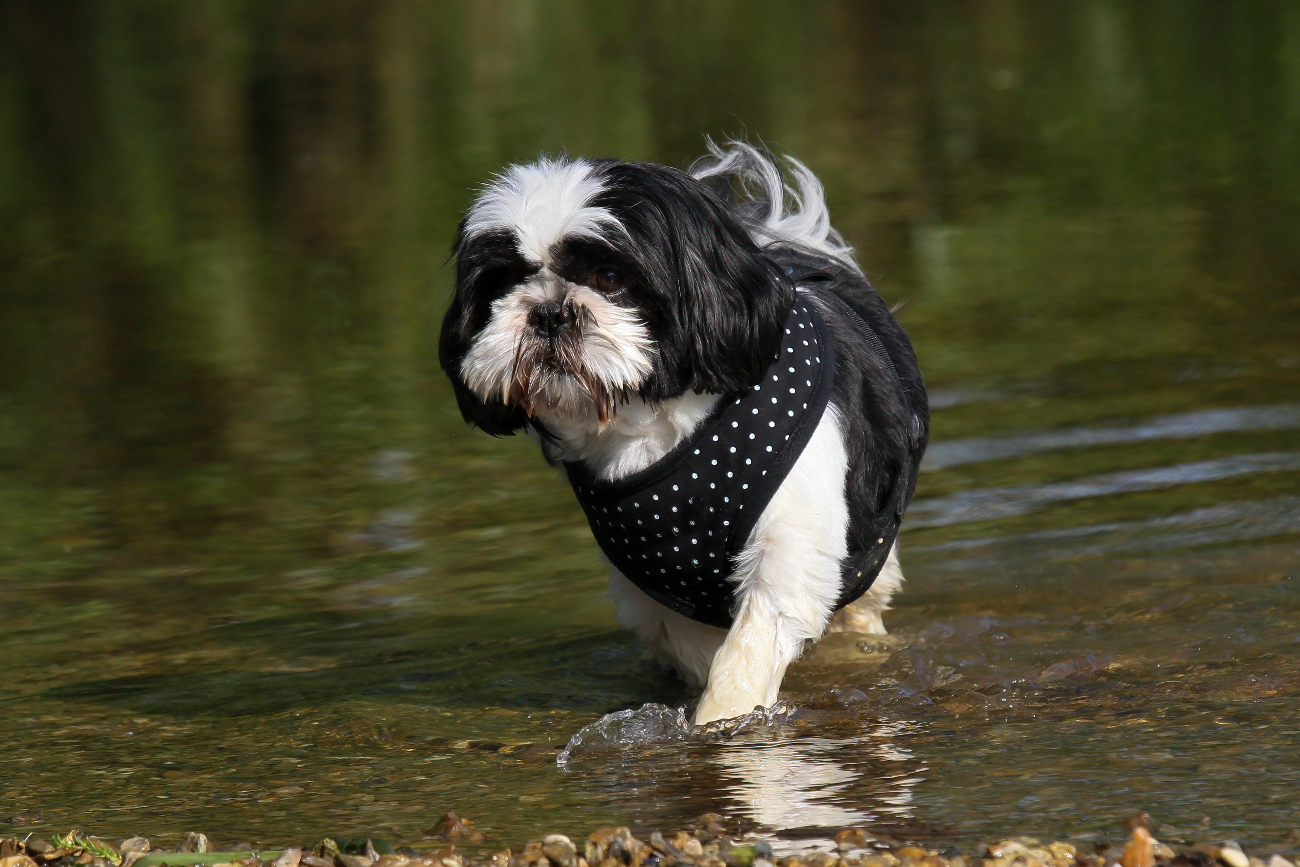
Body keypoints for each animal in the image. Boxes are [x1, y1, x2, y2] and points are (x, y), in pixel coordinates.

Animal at [441, 142, 930, 727]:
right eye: (500, 283)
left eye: (609, 277)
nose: (549, 311)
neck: (655, 426)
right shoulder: (654, 591)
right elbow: (696, 649)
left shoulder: (789, 550)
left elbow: (747, 650)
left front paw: (724, 722)